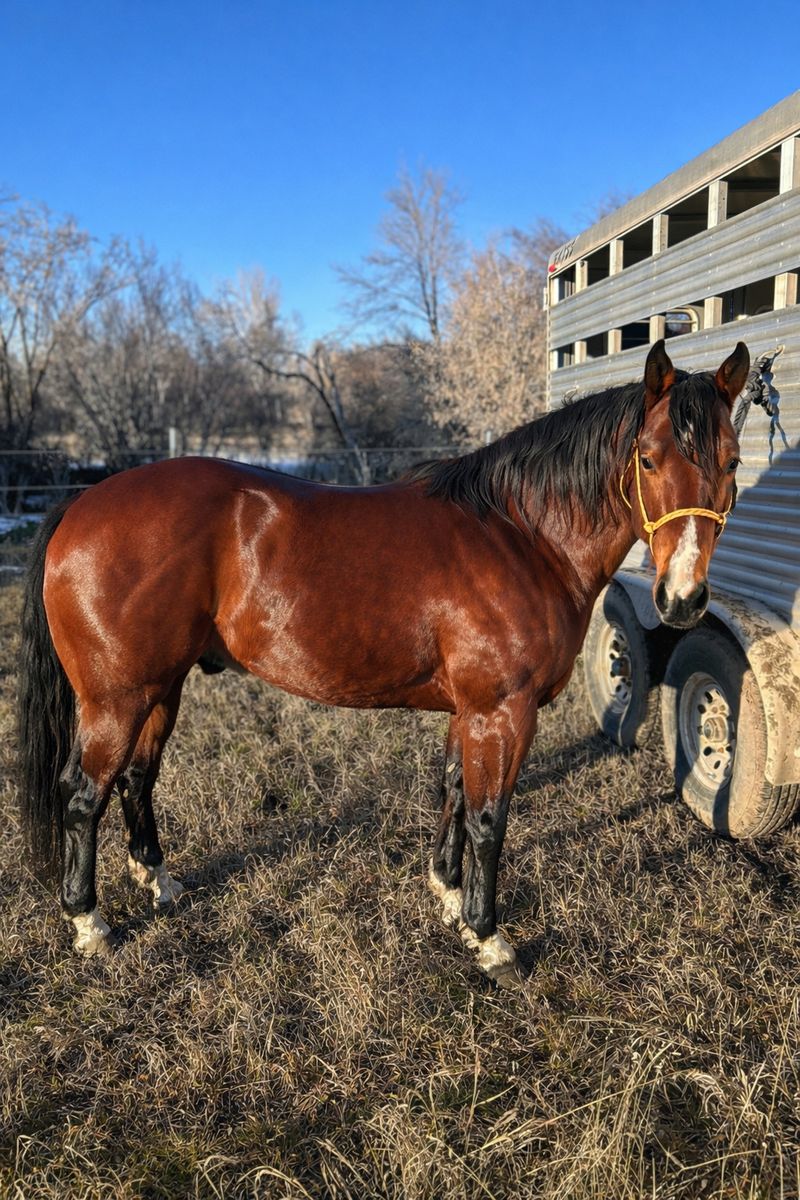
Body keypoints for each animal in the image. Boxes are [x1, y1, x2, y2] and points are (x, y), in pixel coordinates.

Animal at [17, 340, 748, 984]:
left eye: (733, 461)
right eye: (647, 459)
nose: (683, 598)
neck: (521, 536)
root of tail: (84, 501)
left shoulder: (470, 711)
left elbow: (454, 792)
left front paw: (448, 896)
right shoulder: (502, 713)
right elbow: (489, 818)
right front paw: (491, 940)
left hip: (160, 688)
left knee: (138, 779)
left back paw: (158, 880)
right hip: (117, 699)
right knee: (83, 795)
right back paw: (89, 923)